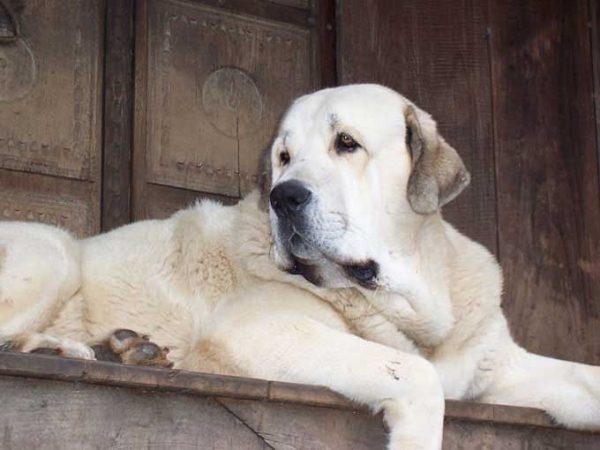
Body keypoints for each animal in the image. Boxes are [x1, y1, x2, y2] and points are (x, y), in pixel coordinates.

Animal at [1, 85, 600, 450]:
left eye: (347, 143)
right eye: (284, 158)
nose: (284, 197)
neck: (414, 304)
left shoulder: (497, 364)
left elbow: (583, 378)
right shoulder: (260, 329)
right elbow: (413, 372)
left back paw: (121, 350)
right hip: (54, 253)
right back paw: (66, 349)